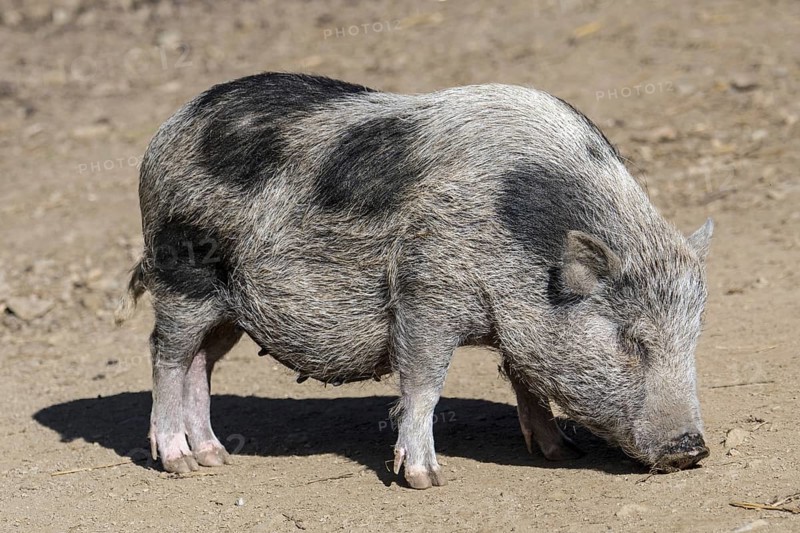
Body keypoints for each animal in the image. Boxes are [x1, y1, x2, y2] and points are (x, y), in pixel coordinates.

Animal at [116, 72, 713, 489]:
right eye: (628, 341)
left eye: (693, 338)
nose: (693, 449)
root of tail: (168, 130)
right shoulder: (426, 290)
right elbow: (424, 383)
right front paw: (428, 480)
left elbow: (526, 380)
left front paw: (563, 453)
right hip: (182, 277)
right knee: (166, 356)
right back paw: (180, 465)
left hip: (227, 311)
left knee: (201, 364)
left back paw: (216, 457)